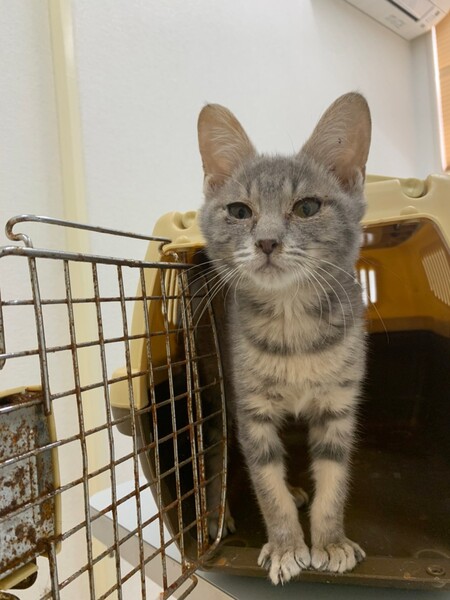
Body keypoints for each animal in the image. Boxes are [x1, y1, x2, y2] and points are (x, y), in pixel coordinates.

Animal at [197, 92, 371, 585]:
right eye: (239, 211)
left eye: (307, 207)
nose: (268, 242)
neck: (293, 327)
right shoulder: (251, 411)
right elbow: (264, 483)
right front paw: (286, 546)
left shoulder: (339, 406)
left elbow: (334, 478)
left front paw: (329, 541)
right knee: (214, 450)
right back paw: (216, 513)